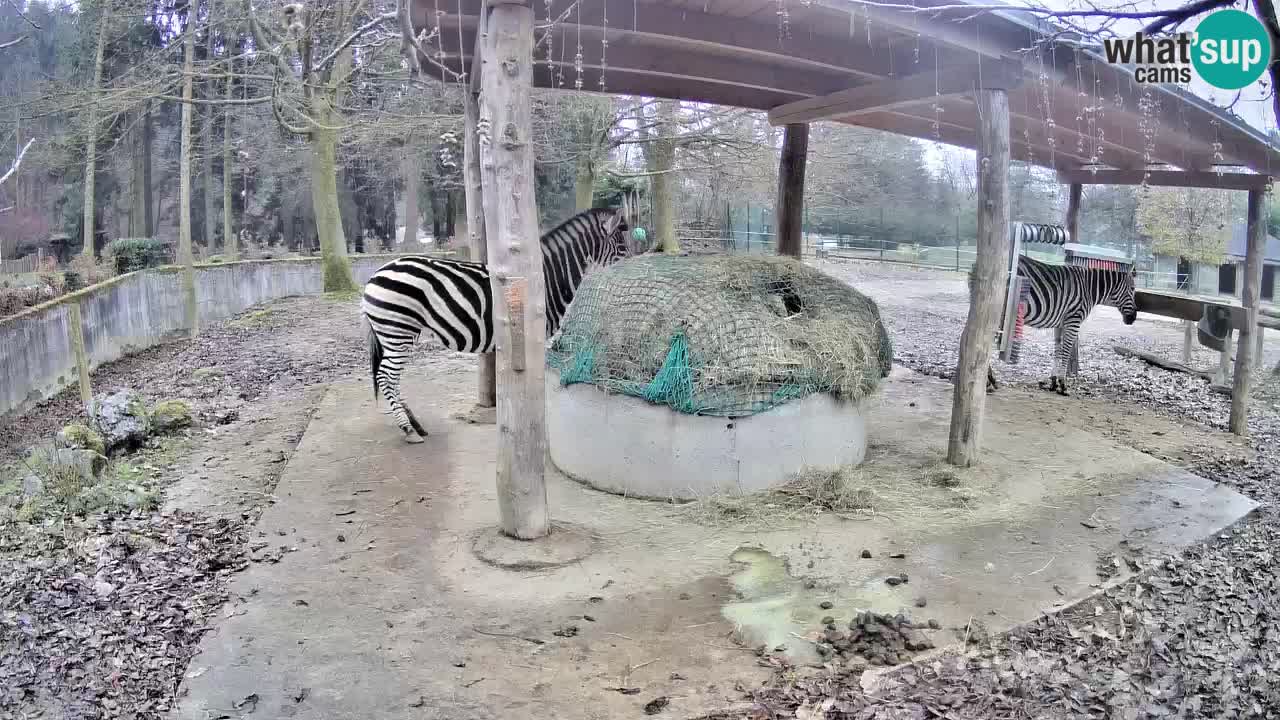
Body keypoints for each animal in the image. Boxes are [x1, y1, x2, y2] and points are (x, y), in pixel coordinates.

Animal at [360, 206, 629, 443]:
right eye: (623, 248)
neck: (547, 278)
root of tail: (375, 274)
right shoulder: (536, 334)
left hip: (395, 334)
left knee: (391, 378)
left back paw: (414, 424)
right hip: (397, 330)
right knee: (386, 376)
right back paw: (408, 429)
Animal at [983, 253, 1136, 397]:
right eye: (1133, 289)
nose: (1133, 318)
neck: (1089, 289)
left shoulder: (1060, 323)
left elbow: (1058, 350)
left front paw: (1054, 382)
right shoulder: (1073, 320)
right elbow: (1066, 351)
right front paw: (1063, 385)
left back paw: (990, 380)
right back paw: (989, 382)